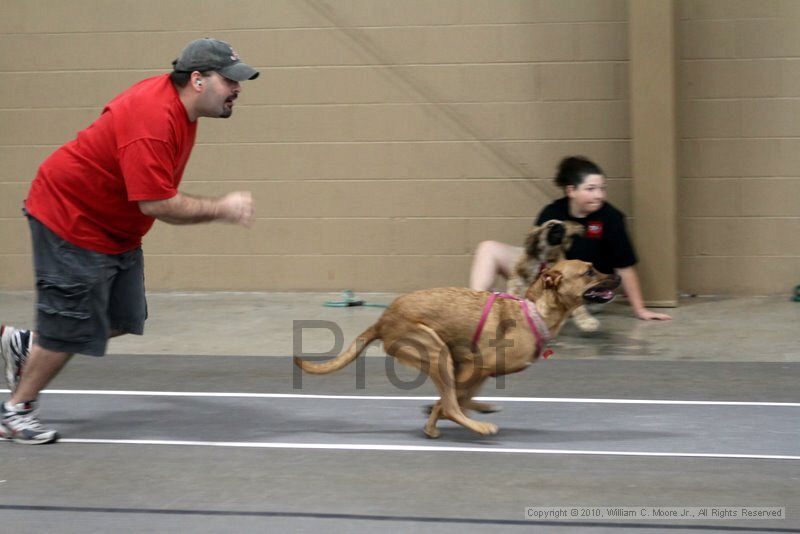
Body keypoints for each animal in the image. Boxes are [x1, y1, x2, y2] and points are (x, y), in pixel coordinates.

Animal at [294, 260, 620, 440]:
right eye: (590, 272)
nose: (617, 275)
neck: (536, 311)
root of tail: (383, 320)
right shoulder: (476, 364)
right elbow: (451, 402)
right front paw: (438, 418)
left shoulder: (477, 370)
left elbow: (457, 398)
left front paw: (435, 416)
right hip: (436, 351)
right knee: (452, 403)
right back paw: (478, 425)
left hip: (446, 359)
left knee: (455, 399)